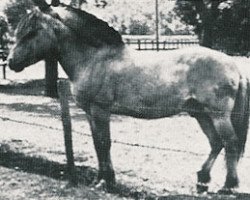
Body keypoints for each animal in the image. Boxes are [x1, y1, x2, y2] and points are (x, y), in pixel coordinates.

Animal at [7, 0, 250, 194]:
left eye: (32, 32)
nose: (10, 63)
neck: (94, 58)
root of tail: (234, 66)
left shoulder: (100, 110)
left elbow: (104, 143)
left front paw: (107, 182)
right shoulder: (90, 113)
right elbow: (97, 144)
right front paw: (100, 180)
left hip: (217, 115)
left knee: (230, 143)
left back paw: (227, 185)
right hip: (200, 114)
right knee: (216, 143)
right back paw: (202, 180)